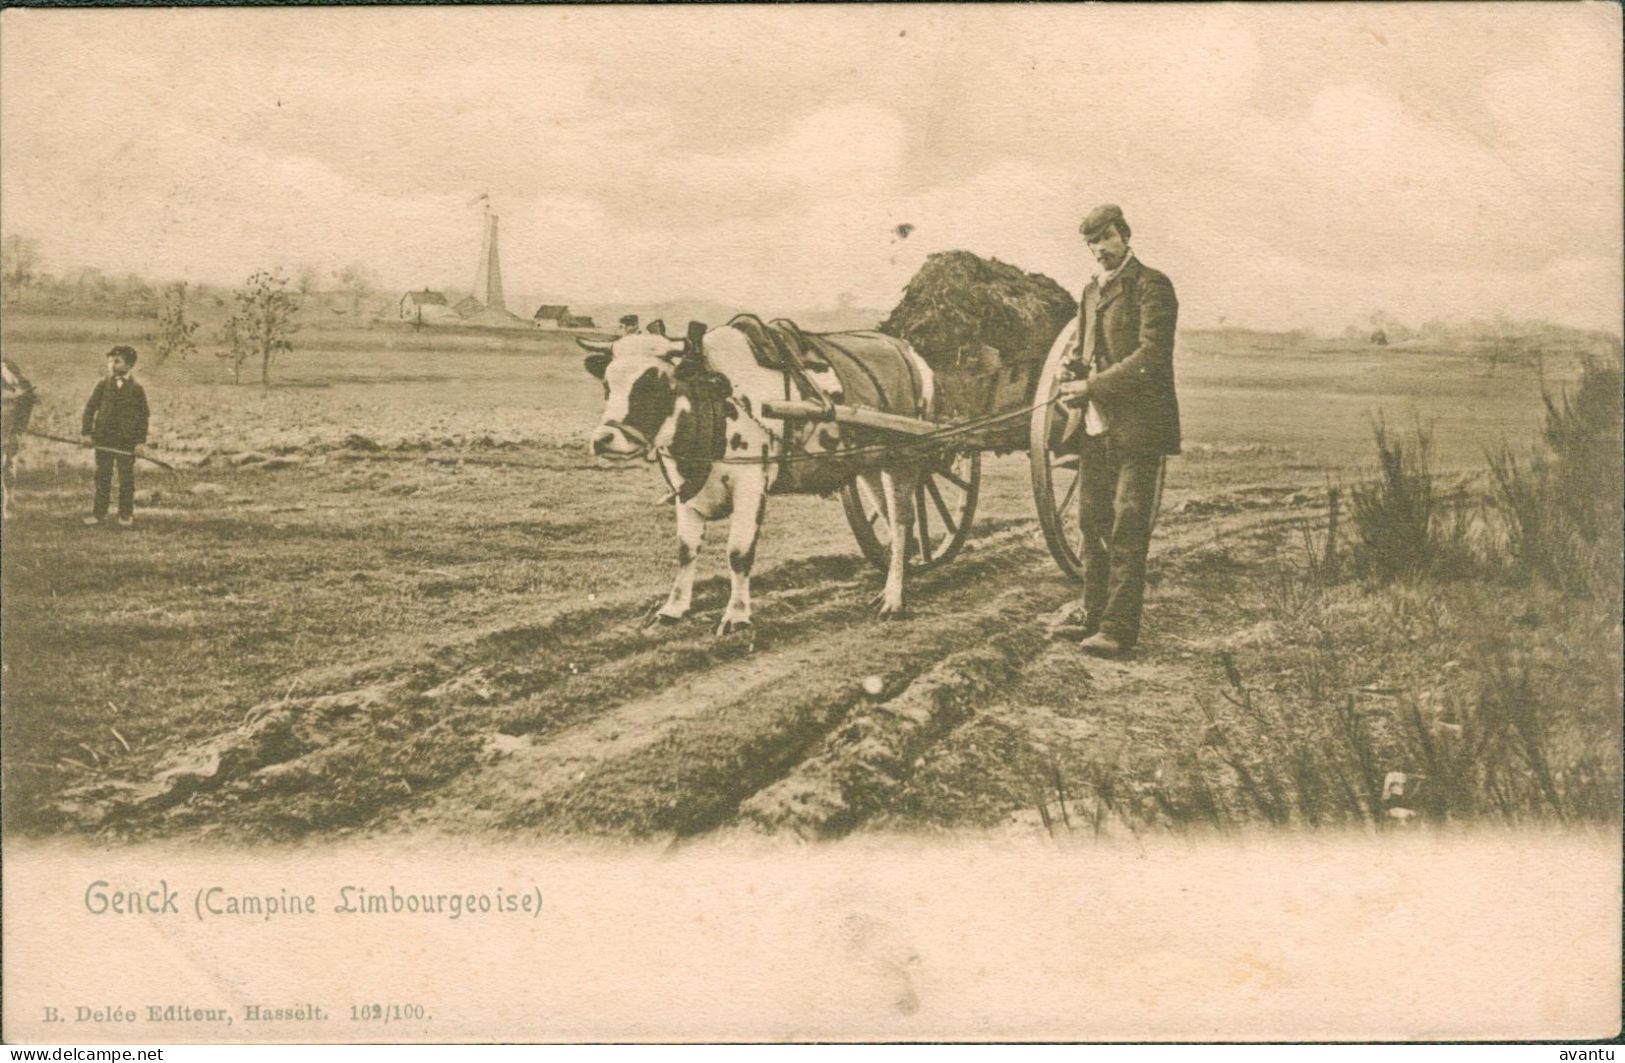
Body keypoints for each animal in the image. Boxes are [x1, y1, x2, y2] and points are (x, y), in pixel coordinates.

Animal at [585, 316, 942, 633]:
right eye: (606, 386)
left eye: (652, 383)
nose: (602, 439)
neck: (715, 399)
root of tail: (908, 351)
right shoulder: (686, 491)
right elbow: (686, 551)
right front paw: (673, 609)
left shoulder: (751, 484)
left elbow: (739, 553)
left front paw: (737, 616)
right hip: (867, 464)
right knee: (891, 519)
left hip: (904, 458)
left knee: (902, 521)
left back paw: (893, 599)